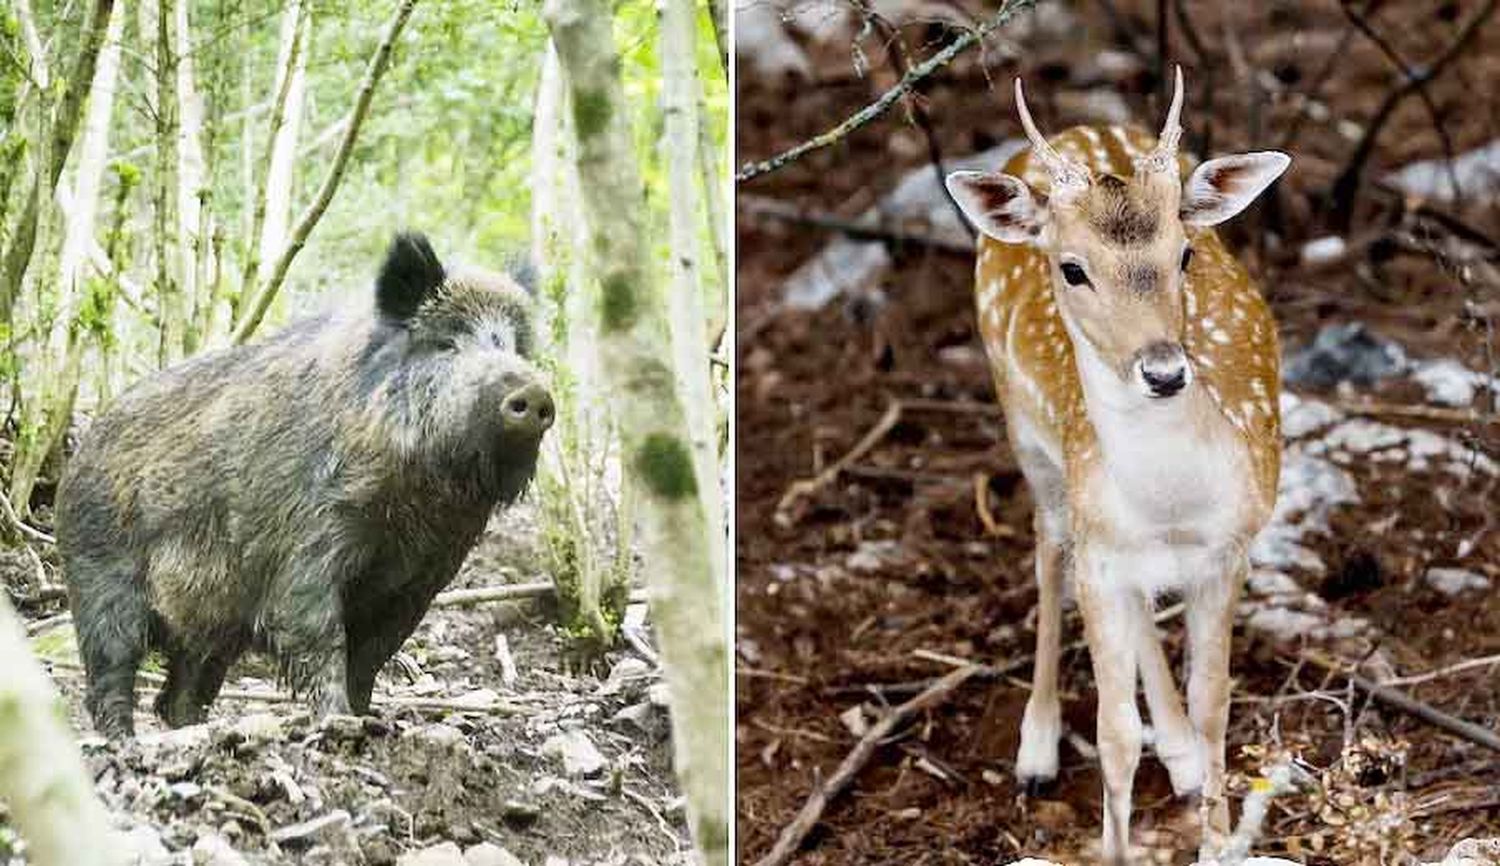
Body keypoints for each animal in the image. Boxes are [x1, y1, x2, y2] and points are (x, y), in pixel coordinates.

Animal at [948, 69, 1290, 864]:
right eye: (1073, 269)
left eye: (1185, 254)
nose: (1164, 371)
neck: (1171, 501)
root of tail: (1075, 129)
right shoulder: (1100, 552)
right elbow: (1112, 735)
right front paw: (1115, 846)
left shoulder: (1227, 550)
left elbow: (1213, 704)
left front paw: (1217, 838)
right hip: (1028, 435)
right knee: (1048, 549)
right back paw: (1037, 748)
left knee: (1135, 611)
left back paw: (1182, 758)